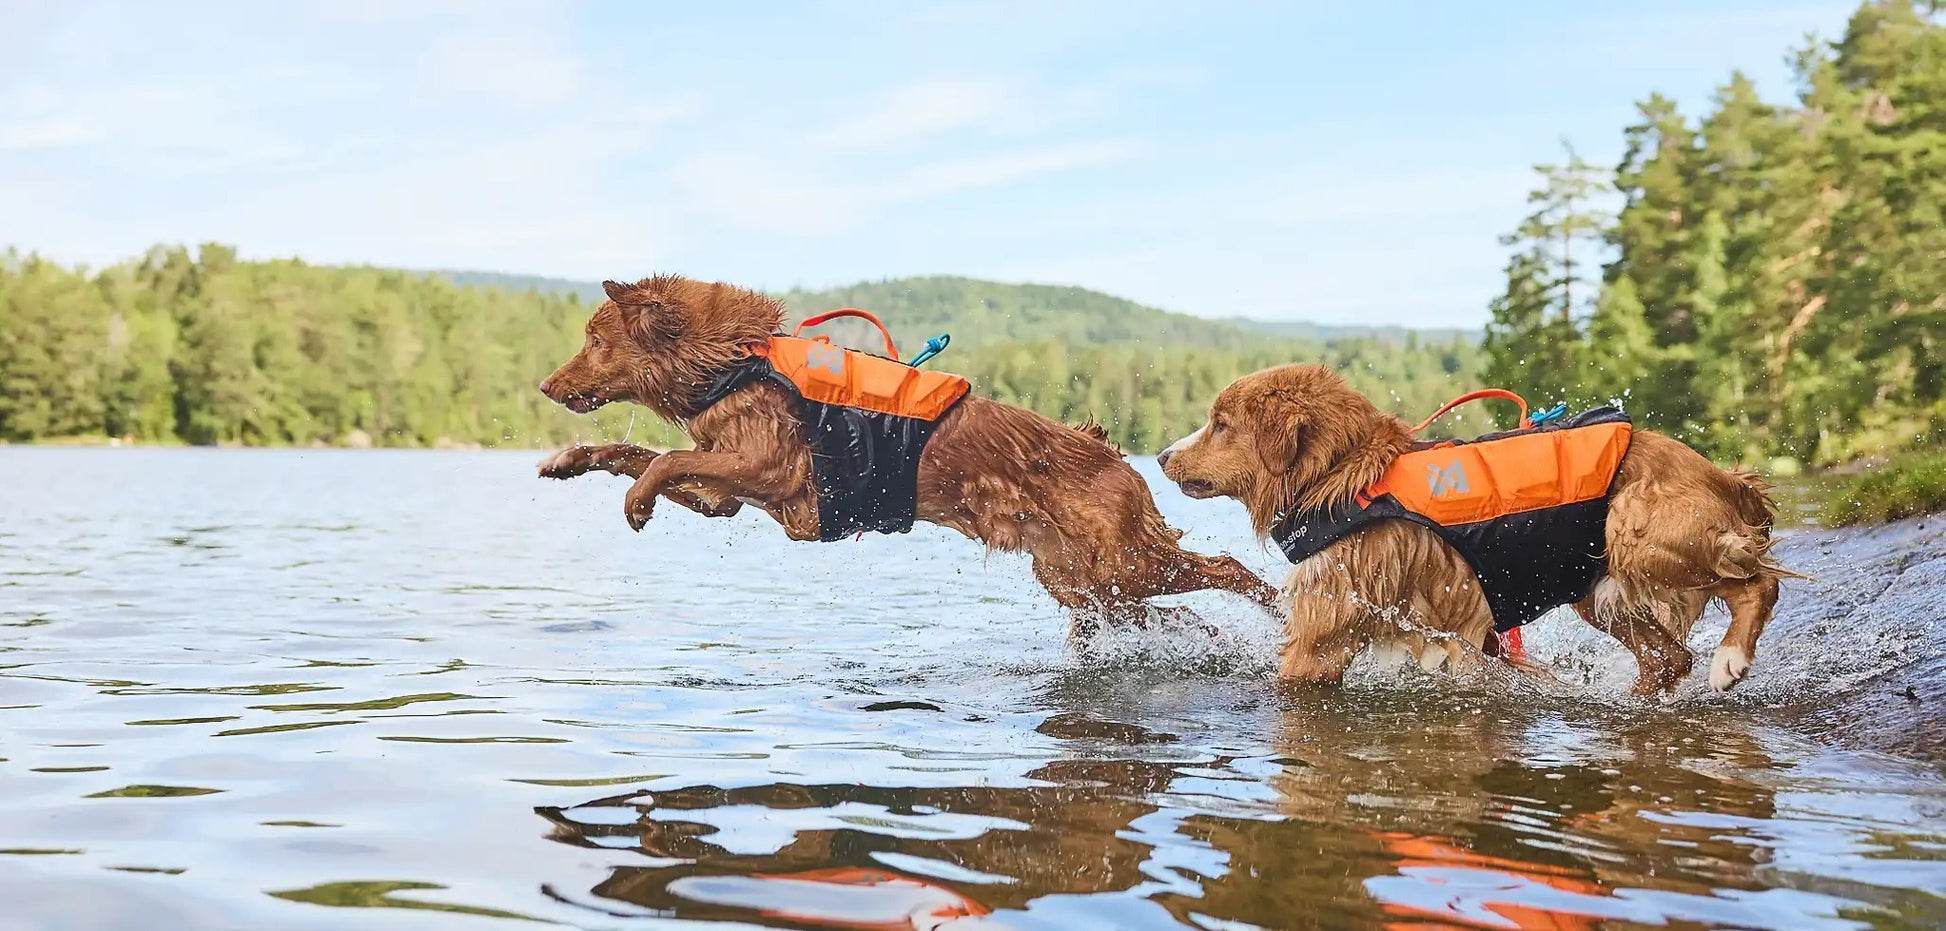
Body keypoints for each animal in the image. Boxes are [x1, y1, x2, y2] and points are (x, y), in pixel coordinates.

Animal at [533, 272, 1276, 634]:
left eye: (596, 342)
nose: (546, 385)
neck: (733, 365)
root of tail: (1116, 456)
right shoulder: (724, 495)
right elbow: (631, 448)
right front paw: (567, 460)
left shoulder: (768, 467)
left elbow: (659, 461)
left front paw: (635, 505)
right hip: (1084, 582)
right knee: (1155, 611)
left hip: (1125, 563)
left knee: (1226, 565)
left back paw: (1271, 605)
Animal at [1144, 364, 1798, 689]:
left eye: (1221, 424)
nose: (1162, 457)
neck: (1345, 477)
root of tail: (1723, 475)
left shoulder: (1325, 624)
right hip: (1598, 587)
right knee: (1668, 660)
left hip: (1637, 532)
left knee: (1758, 585)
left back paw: (1730, 659)